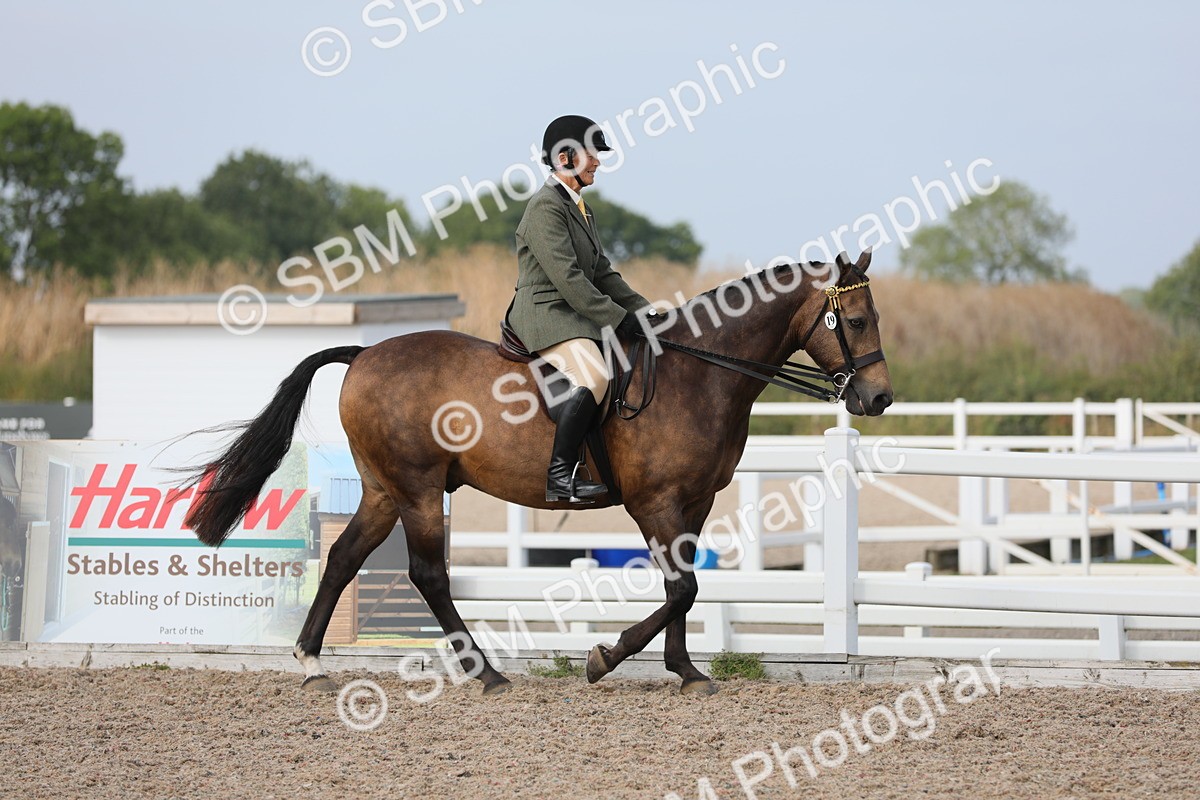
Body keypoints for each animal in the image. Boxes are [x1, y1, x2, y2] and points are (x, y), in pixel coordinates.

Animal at [183, 249, 892, 696]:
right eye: (856, 321)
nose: (879, 398)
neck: (699, 373)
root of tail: (364, 354)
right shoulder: (655, 502)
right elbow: (682, 588)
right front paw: (604, 659)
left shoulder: (694, 505)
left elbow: (683, 586)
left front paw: (685, 671)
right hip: (417, 488)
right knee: (427, 574)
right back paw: (487, 675)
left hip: (384, 490)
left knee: (342, 560)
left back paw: (311, 663)